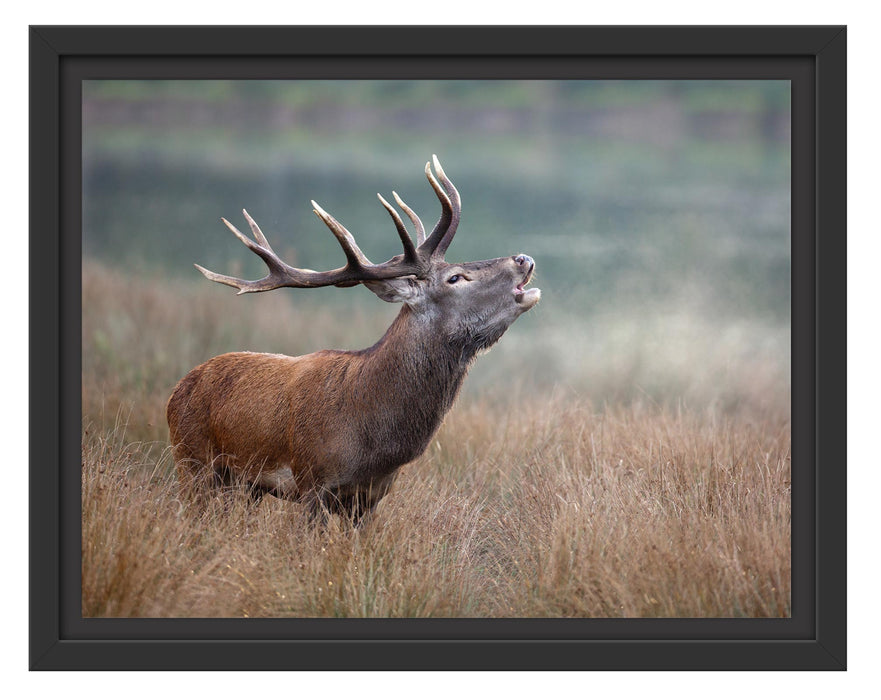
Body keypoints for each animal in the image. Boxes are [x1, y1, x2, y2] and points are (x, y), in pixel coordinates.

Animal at [166, 156, 540, 525]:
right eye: (455, 278)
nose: (523, 259)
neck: (373, 438)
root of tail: (177, 389)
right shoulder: (312, 481)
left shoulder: (370, 497)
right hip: (192, 461)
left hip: (246, 486)